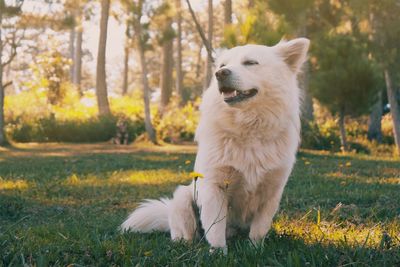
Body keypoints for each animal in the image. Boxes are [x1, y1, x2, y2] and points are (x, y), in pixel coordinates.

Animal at [121, 37, 310, 251]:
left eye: (250, 63)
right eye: (222, 66)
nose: (220, 73)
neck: (248, 127)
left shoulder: (271, 192)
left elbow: (259, 229)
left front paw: (255, 249)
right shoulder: (215, 187)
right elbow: (216, 228)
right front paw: (218, 252)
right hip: (182, 199)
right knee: (185, 233)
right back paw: (184, 243)